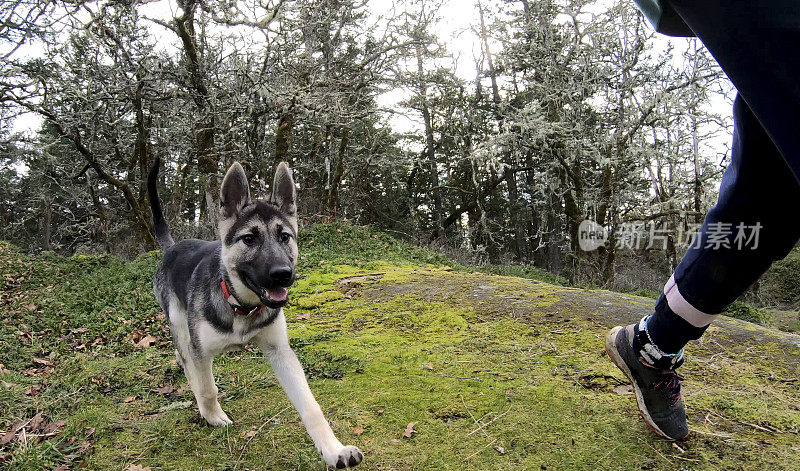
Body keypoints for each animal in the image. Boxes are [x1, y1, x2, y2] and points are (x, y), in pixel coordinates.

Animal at [147, 161, 362, 468]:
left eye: (284, 237)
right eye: (249, 239)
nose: (283, 274)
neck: (241, 304)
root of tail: (172, 247)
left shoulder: (280, 352)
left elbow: (310, 405)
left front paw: (334, 450)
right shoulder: (201, 350)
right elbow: (207, 387)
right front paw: (212, 415)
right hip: (179, 324)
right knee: (186, 358)